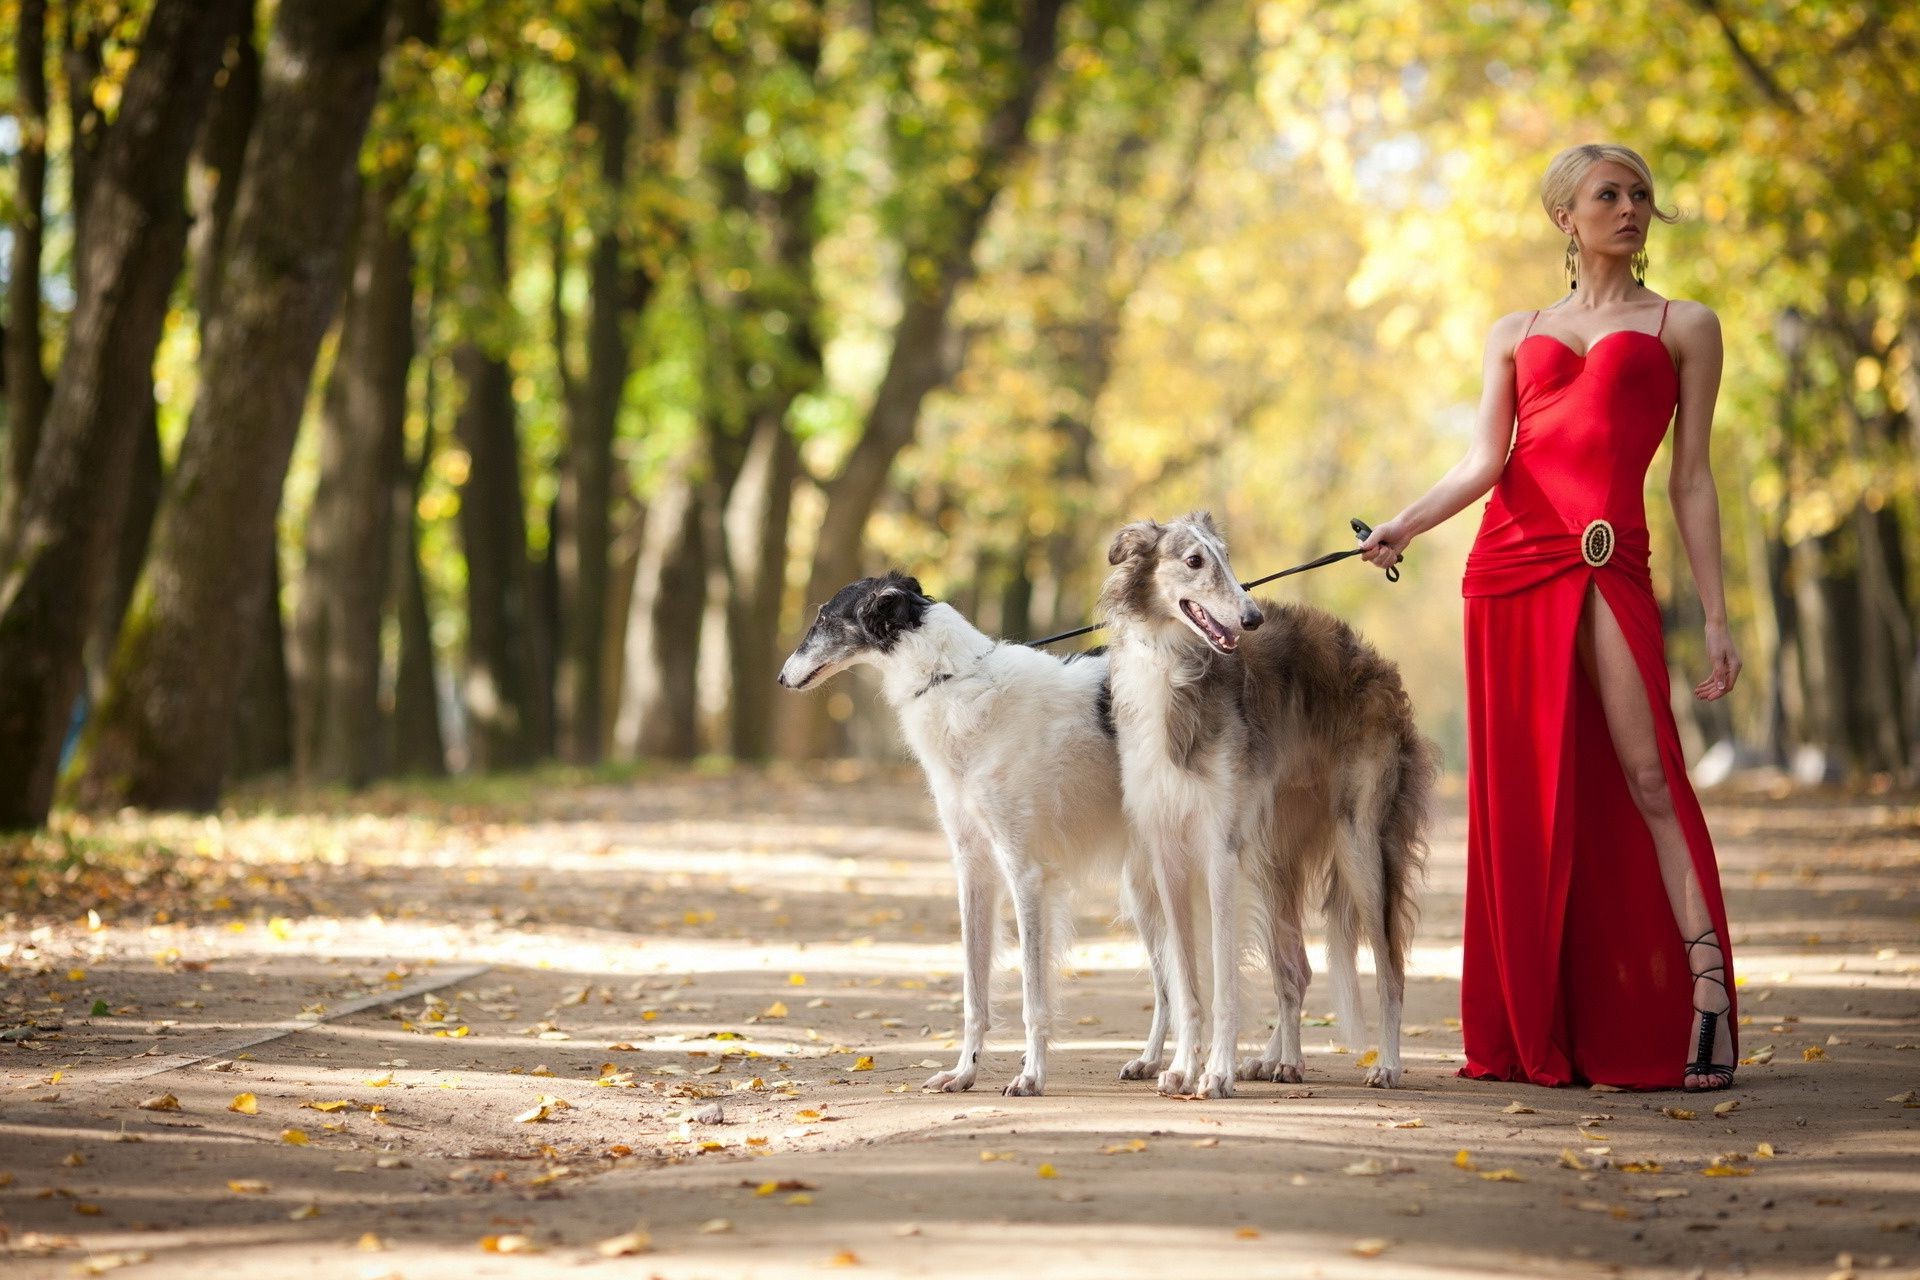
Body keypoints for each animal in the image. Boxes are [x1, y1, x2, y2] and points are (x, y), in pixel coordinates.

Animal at [779, 575, 1167, 1097]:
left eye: (823, 617)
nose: (782, 678)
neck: (951, 679)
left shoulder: (1026, 871)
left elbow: (1032, 996)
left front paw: (1031, 1075)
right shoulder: (974, 868)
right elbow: (972, 993)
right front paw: (965, 1071)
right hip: (1145, 884)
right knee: (1174, 984)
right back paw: (1153, 1061)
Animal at [1105, 514, 1436, 1097]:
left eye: (1227, 557)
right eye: (1194, 560)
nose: (1252, 618)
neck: (1177, 669)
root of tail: (1377, 665)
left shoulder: (1218, 848)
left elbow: (1222, 981)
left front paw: (1215, 1073)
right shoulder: (1167, 854)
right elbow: (1186, 983)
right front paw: (1183, 1068)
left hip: (1359, 845)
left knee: (1391, 970)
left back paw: (1387, 1065)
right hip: (1271, 853)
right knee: (1296, 969)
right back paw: (1281, 1060)